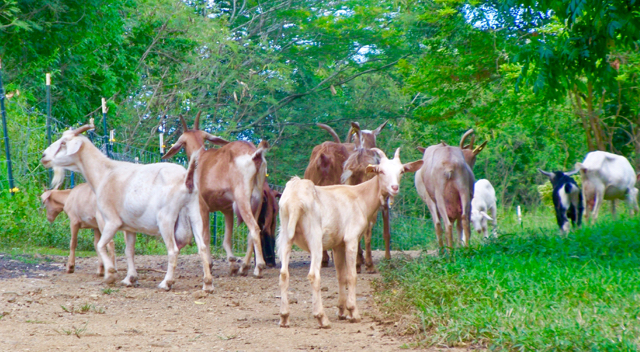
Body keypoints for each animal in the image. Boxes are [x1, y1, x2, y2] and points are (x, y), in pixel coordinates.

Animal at [41, 122, 214, 292]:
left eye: (63, 143)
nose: (43, 156)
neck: (104, 173)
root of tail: (186, 178)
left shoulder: (111, 220)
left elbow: (101, 245)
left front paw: (110, 274)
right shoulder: (130, 227)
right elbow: (129, 251)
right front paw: (130, 278)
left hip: (166, 218)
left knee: (173, 250)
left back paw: (166, 282)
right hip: (195, 213)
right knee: (202, 247)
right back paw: (208, 284)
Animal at [162, 113, 270, 278]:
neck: (200, 158)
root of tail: (255, 155)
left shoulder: (202, 206)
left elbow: (205, 236)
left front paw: (210, 264)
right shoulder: (227, 209)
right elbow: (227, 238)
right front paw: (232, 264)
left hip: (243, 200)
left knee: (254, 228)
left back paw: (258, 268)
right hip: (257, 201)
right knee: (252, 233)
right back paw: (244, 267)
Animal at [278, 147, 422, 328]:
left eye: (401, 171)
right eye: (381, 171)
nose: (394, 187)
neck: (360, 197)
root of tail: (295, 201)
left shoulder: (338, 243)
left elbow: (341, 275)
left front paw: (341, 310)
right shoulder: (351, 238)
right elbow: (352, 275)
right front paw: (353, 312)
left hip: (284, 235)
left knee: (284, 273)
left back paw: (284, 317)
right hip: (314, 237)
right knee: (313, 275)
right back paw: (321, 318)